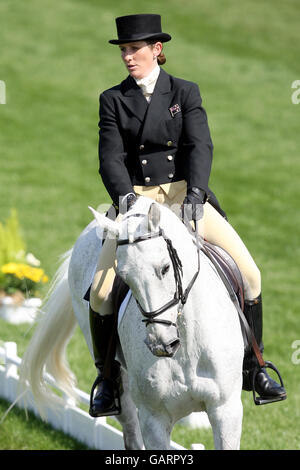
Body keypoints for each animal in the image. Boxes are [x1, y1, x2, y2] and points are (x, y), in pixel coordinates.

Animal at [21, 196, 246, 450]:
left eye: (165, 268)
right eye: (124, 277)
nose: (161, 344)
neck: (186, 344)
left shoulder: (226, 410)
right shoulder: (153, 418)